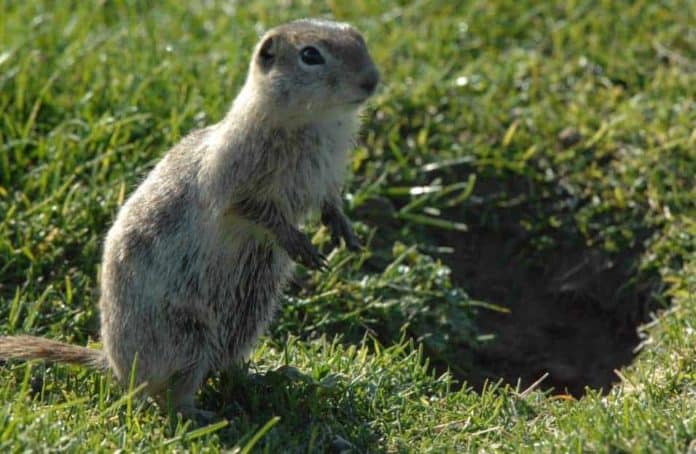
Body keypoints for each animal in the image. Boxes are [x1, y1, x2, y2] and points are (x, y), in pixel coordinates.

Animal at [0, 17, 378, 422]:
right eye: (310, 55)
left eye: (359, 39)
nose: (371, 80)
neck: (316, 124)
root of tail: (115, 366)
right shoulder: (234, 177)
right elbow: (254, 210)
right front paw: (298, 243)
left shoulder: (327, 175)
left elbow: (330, 201)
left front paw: (344, 231)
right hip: (188, 336)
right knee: (168, 395)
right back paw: (202, 415)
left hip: (248, 318)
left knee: (226, 366)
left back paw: (272, 376)